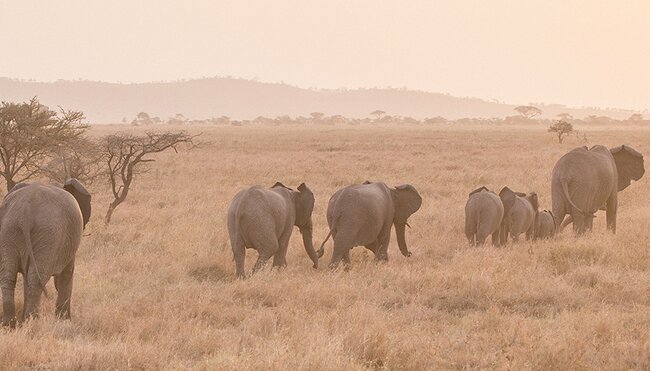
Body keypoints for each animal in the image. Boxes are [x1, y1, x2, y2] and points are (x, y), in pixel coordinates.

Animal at [0, 179, 92, 328]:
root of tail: (25, 211)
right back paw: (32, 321)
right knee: (37, 279)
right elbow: (67, 274)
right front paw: (65, 321)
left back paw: (9, 323)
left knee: (8, 276)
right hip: (48, 234)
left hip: (9, 230)